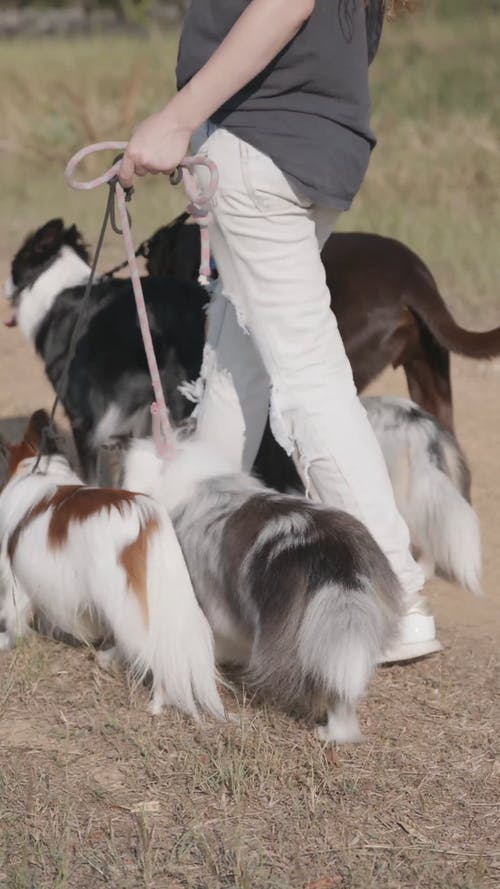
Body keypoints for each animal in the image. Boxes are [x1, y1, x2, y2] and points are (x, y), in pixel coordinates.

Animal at [0, 410, 225, 720]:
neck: (35, 470)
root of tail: (148, 517)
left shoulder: (16, 580)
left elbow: (13, 618)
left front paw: (6, 642)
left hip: (118, 595)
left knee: (152, 649)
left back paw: (157, 704)